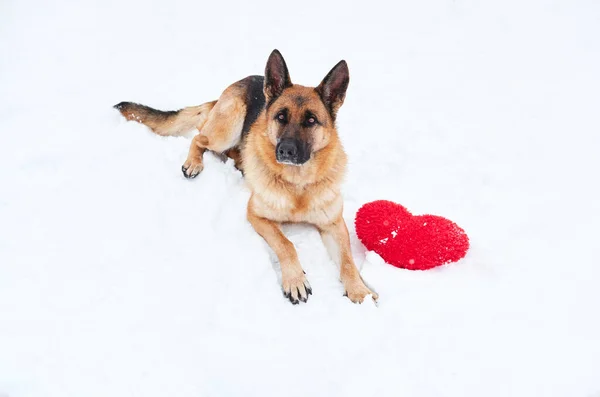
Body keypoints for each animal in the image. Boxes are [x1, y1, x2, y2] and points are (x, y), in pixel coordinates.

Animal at [115, 49, 378, 304]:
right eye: (280, 117)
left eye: (311, 120)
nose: (285, 151)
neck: (297, 185)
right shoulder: (256, 215)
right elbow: (287, 244)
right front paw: (295, 280)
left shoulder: (334, 225)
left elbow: (348, 260)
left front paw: (360, 290)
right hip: (228, 126)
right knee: (199, 138)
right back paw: (194, 163)